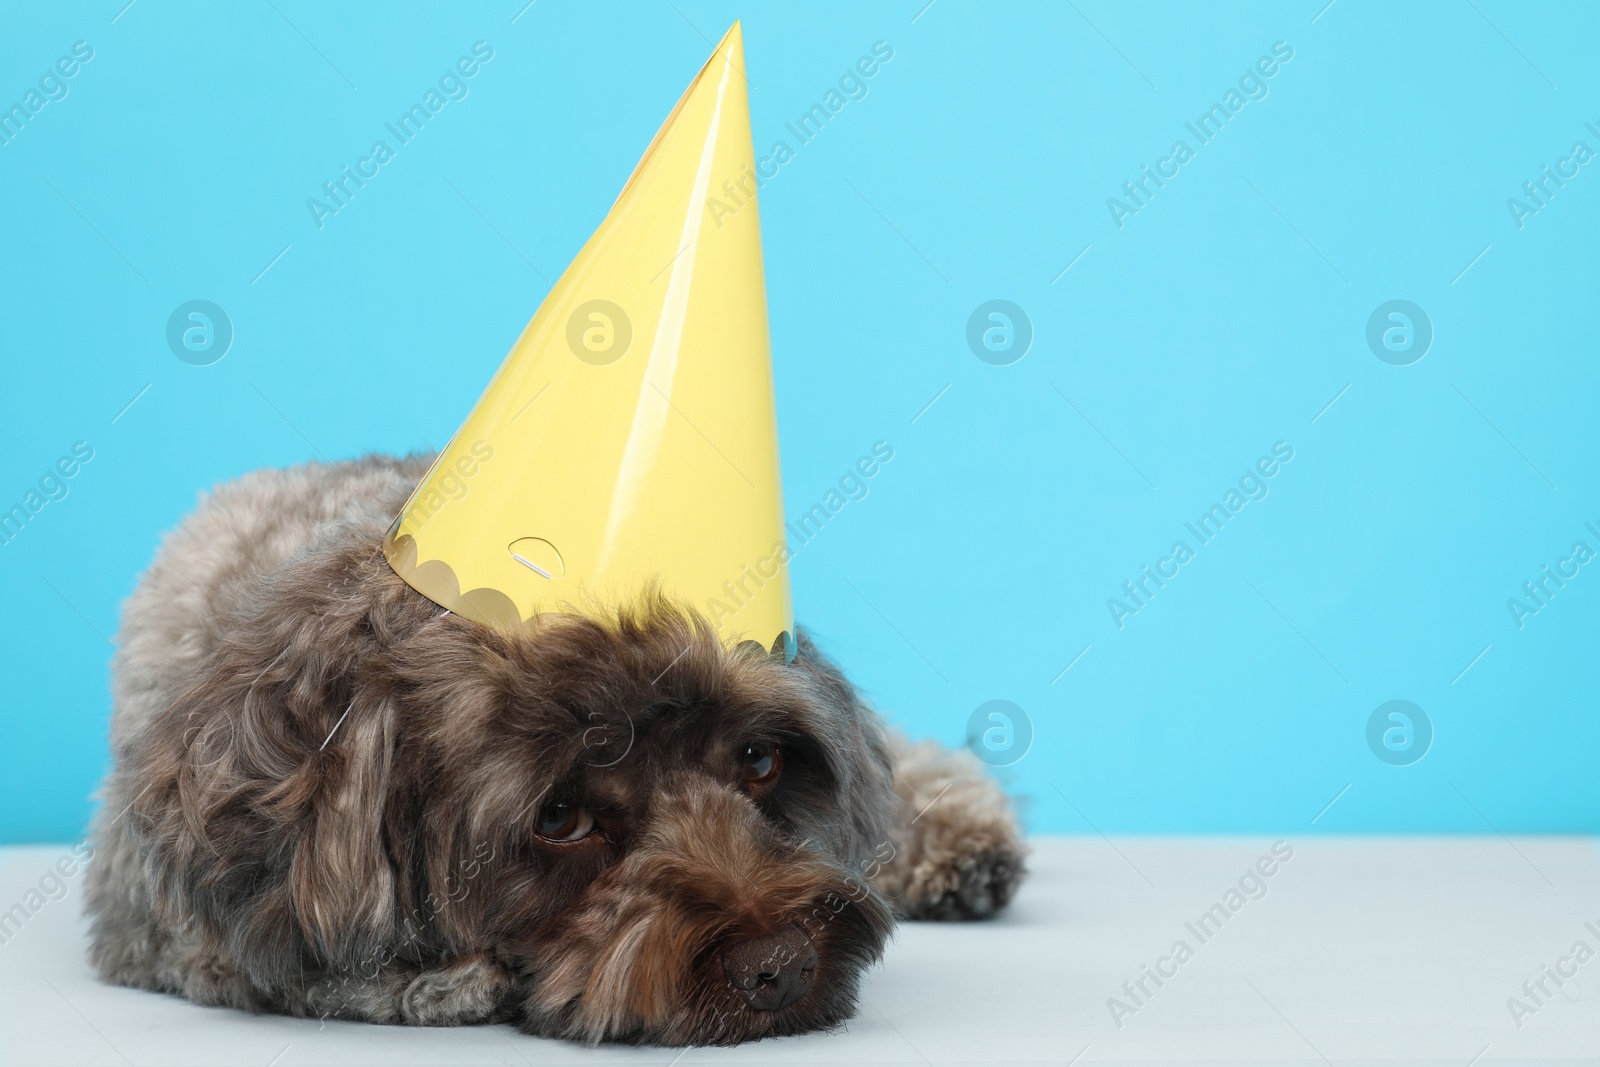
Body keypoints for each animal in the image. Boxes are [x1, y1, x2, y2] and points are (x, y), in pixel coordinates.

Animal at [84, 454, 1024, 1049]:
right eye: (560, 816)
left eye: (758, 759)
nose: (784, 968)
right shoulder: (153, 915)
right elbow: (288, 961)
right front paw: (442, 978)